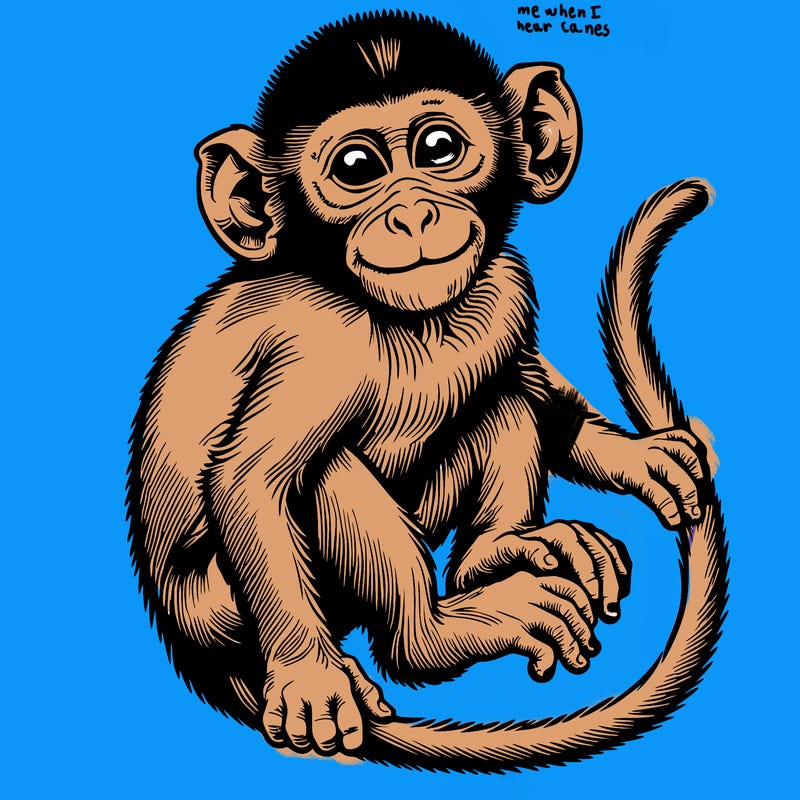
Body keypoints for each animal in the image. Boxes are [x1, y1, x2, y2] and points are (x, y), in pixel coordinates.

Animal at [127, 12, 726, 772]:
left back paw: (497, 552)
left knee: (499, 394)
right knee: (327, 474)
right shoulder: (317, 347)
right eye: (356, 169)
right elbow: (252, 480)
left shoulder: (503, 284)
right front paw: (310, 676)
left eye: (439, 149)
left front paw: (631, 457)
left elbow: (525, 375)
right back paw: (430, 636)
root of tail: (197, 649)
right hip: (225, 608)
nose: (412, 216)